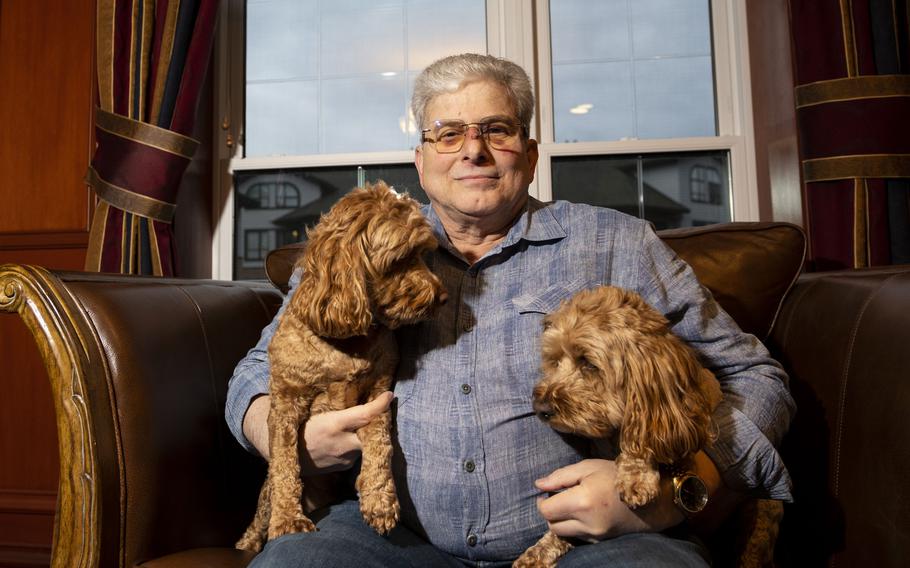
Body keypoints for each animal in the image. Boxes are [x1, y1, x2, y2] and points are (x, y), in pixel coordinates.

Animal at [237, 181, 448, 552]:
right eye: (400, 259)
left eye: (424, 254)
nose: (443, 297)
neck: (347, 341)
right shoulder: (286, 401)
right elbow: (285, 464)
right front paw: (288, 520)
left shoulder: (377, 394)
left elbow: (381, 443)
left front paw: (379, 499)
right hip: (263, 497)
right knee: (262, 509)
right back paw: (249, 542)